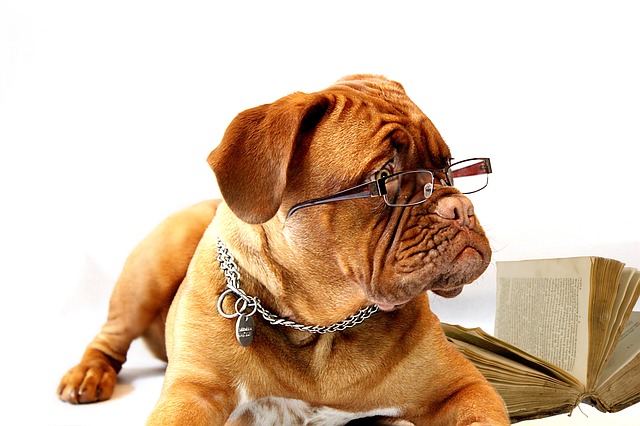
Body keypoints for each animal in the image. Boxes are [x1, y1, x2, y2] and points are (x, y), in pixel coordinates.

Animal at [57, 75, 508, 424]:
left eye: (449, 168)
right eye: (385, 176)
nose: (460, 207)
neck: (320, 328)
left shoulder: (462, 389)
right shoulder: (192, 393)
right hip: (151, 269)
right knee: (111, 337)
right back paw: (87, 376)